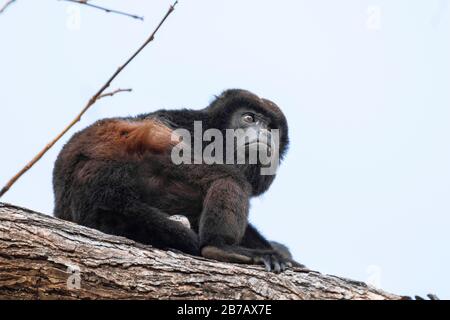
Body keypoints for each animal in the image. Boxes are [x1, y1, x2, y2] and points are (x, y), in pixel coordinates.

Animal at [54, 89, 304, 272]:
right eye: (249, 118)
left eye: (271, 127)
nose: (265, 133)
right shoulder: (192, 130)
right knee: (229, 178)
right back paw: (219, 247)